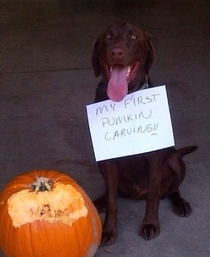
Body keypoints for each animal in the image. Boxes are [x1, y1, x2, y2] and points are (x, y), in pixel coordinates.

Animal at [90, 23, 197, 245]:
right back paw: (100, 200)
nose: (116, 52)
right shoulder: (107, 160)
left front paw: (150, 224)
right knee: (111, 191)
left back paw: (180, 203)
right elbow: (112, 200)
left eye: (133, 37)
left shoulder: (155, 159)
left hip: (174, 159)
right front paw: (108, 229)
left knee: (172, 190)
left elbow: (153, 197)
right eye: (108, 37)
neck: (125, 97)